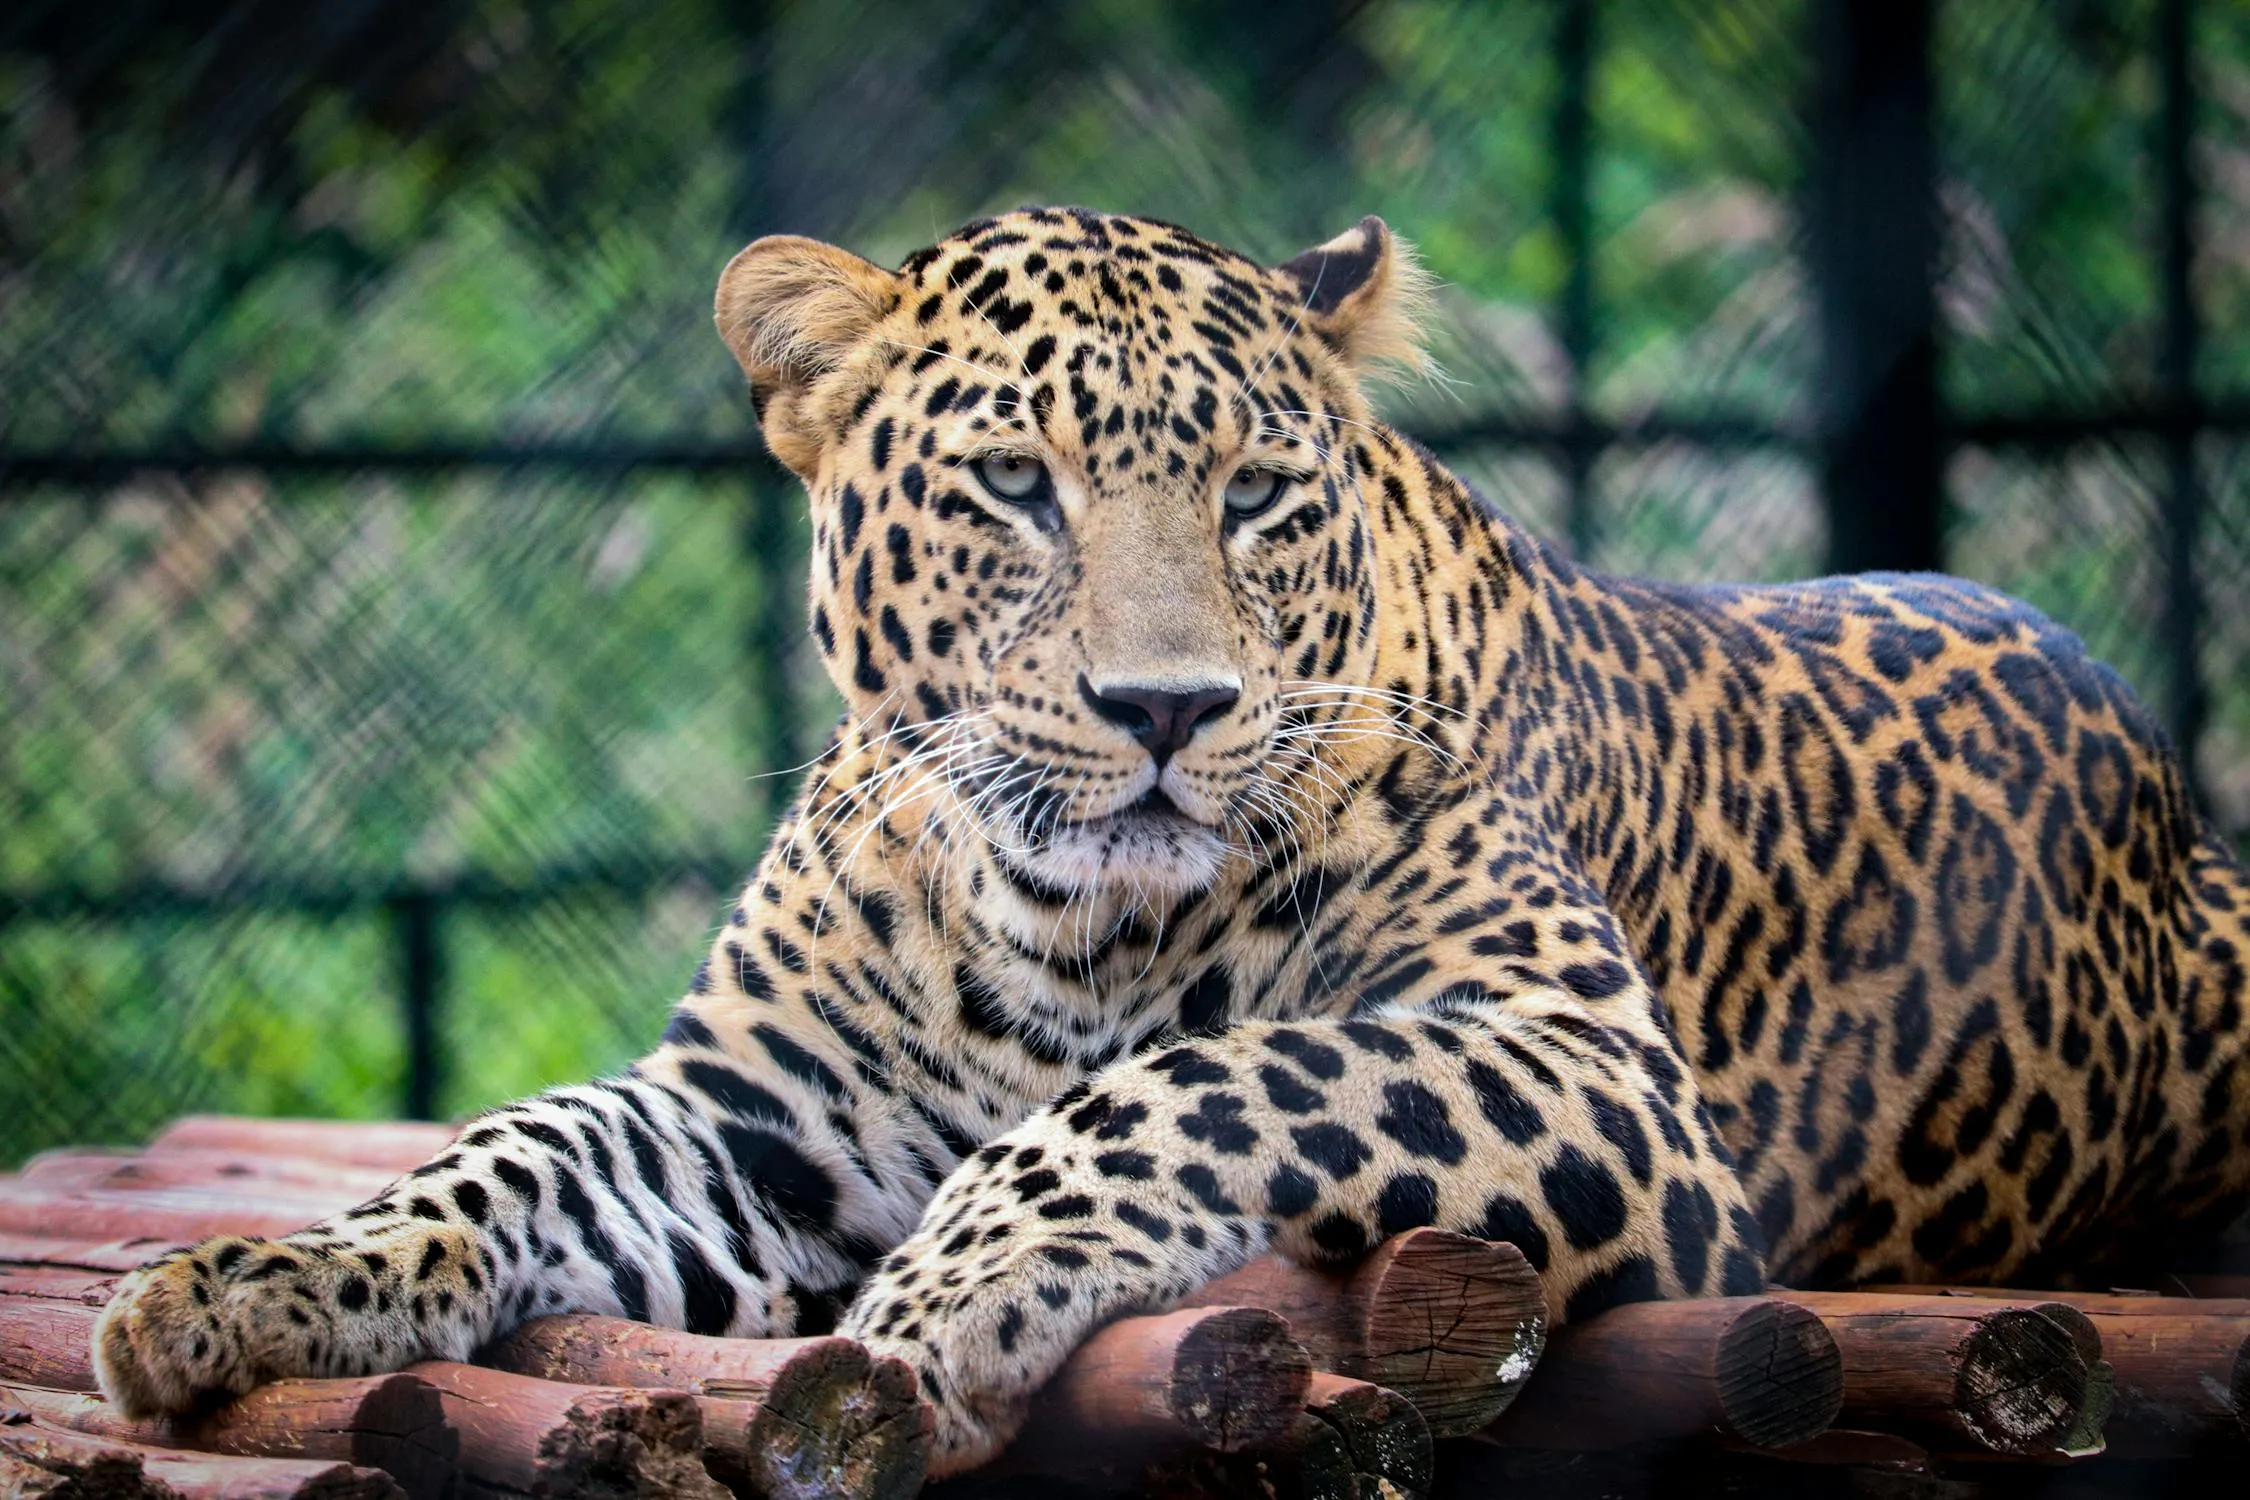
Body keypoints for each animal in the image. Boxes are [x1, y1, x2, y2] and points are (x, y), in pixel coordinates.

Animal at [93, 206, 2250, 1476]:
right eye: (1015, 486)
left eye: (1262, 494)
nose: (1165, 712)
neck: (1058, 924)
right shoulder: (755, 1126)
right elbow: (511, 1154)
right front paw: (246, 1282)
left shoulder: (1582, 1058)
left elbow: (1203, 1082)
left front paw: (942, 1306)